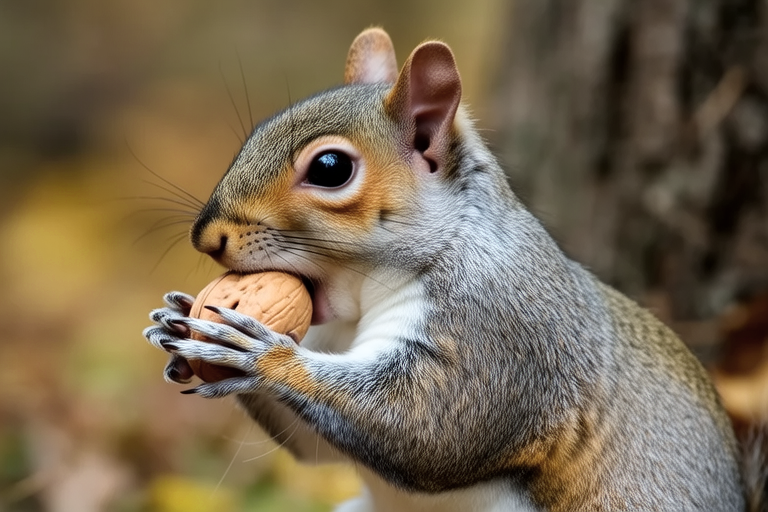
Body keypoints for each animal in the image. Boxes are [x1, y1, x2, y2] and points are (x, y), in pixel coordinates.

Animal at [144, 28, 751, 511]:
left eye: (330, 168)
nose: (206, 236)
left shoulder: (504, 333)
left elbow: (428, 427)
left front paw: (259, 354)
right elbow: (315, 448)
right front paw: (179, 320)